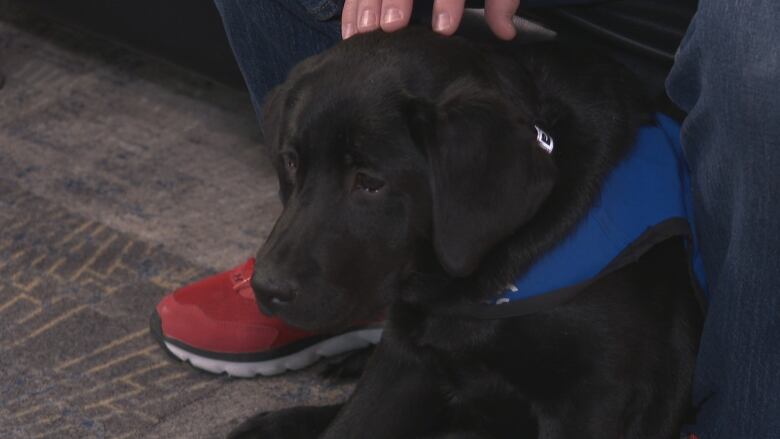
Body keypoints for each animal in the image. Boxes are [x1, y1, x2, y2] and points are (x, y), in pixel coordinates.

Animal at [232, 28, 700, 439]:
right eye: (292, 161)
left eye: (370, 182)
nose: (264, 289)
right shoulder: (405, 358)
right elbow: (350, 424)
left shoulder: (594, 396)